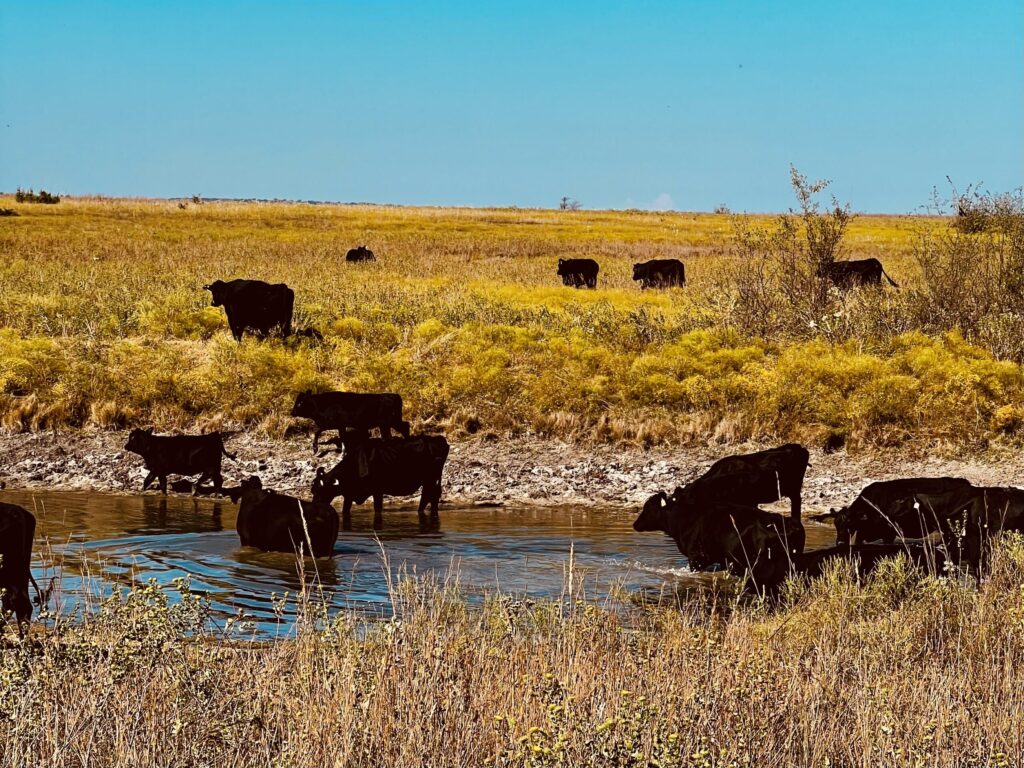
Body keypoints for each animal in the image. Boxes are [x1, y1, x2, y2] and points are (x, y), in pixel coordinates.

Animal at [318, 435, 450, 530]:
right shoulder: (349, 494)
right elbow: (345, 510)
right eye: (315, 490)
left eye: (323, 490)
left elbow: (377, 509)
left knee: (430, 496)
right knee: (429, 497)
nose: (317, 505)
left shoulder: (377, 491)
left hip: (430, 480)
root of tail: (439, 439)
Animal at [810, 477, 973, 546]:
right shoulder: (862, 533)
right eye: (836, 524)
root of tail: (964, 481)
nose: (840, 542)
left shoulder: (889, 534)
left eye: (850, 523)